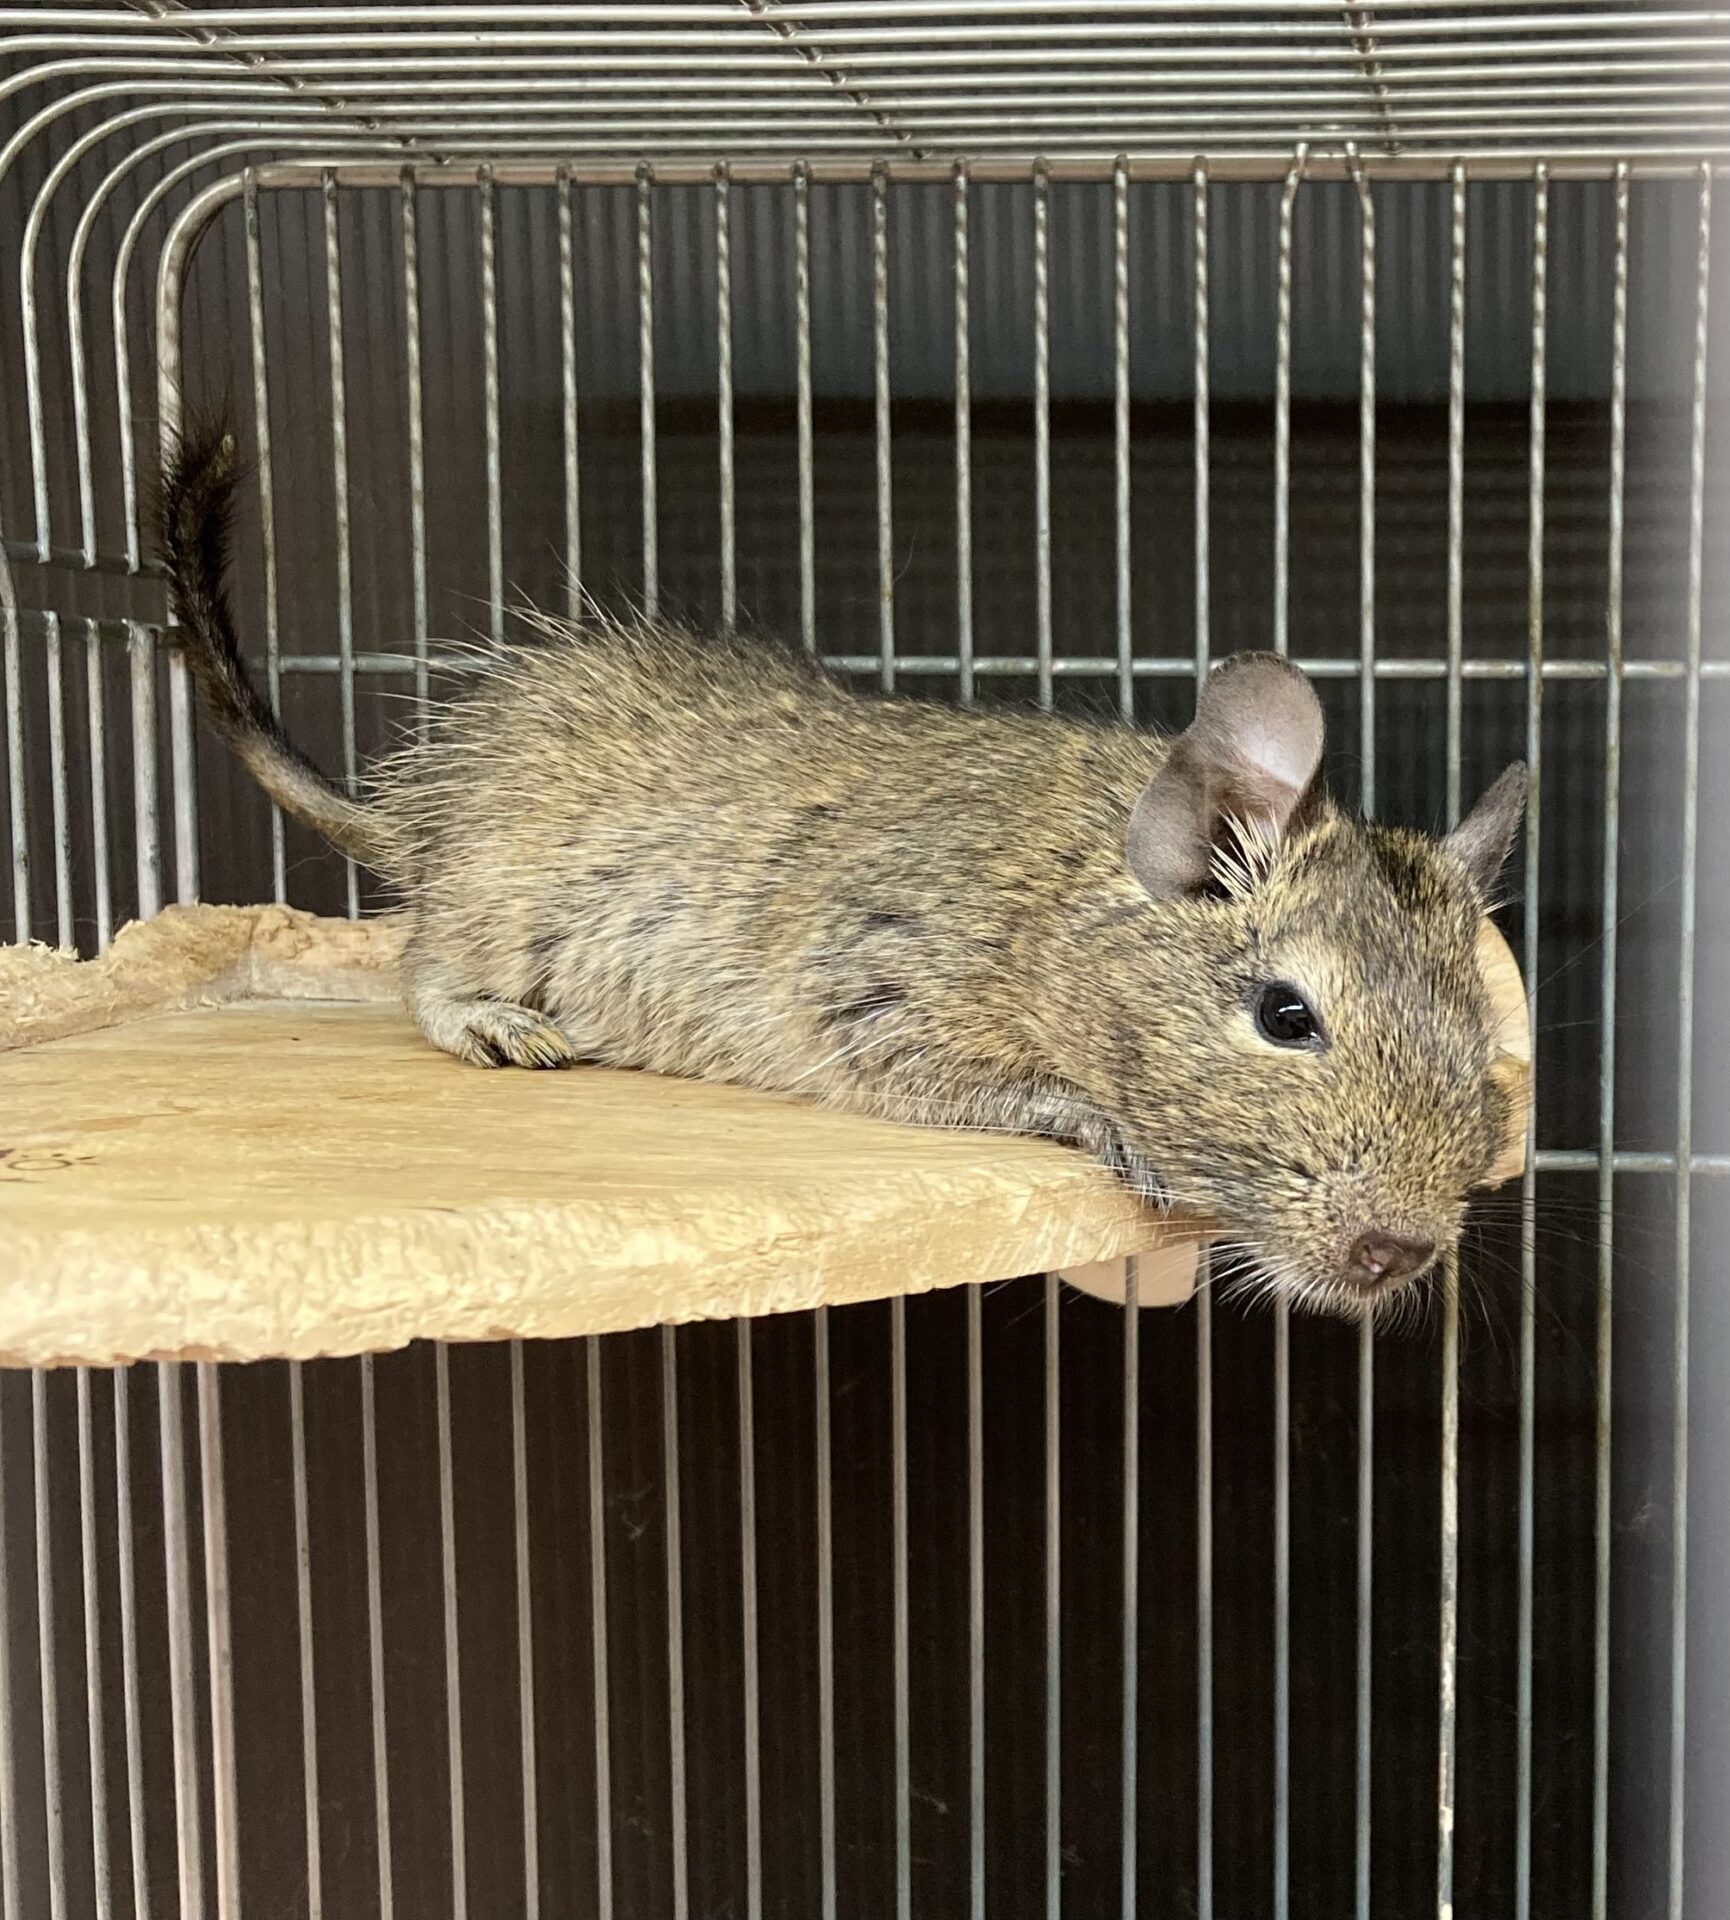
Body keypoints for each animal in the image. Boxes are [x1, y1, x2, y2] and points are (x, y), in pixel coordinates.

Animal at [158, 423, 1527, 1320]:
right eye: (1284, 1017)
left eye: (1479, 1052)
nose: (1398, 1254)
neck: (1062, 894)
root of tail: (417, 821)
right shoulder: (874, 994)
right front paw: (1097, 1121)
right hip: (500, 894)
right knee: (422, 966)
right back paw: (494, 1021)